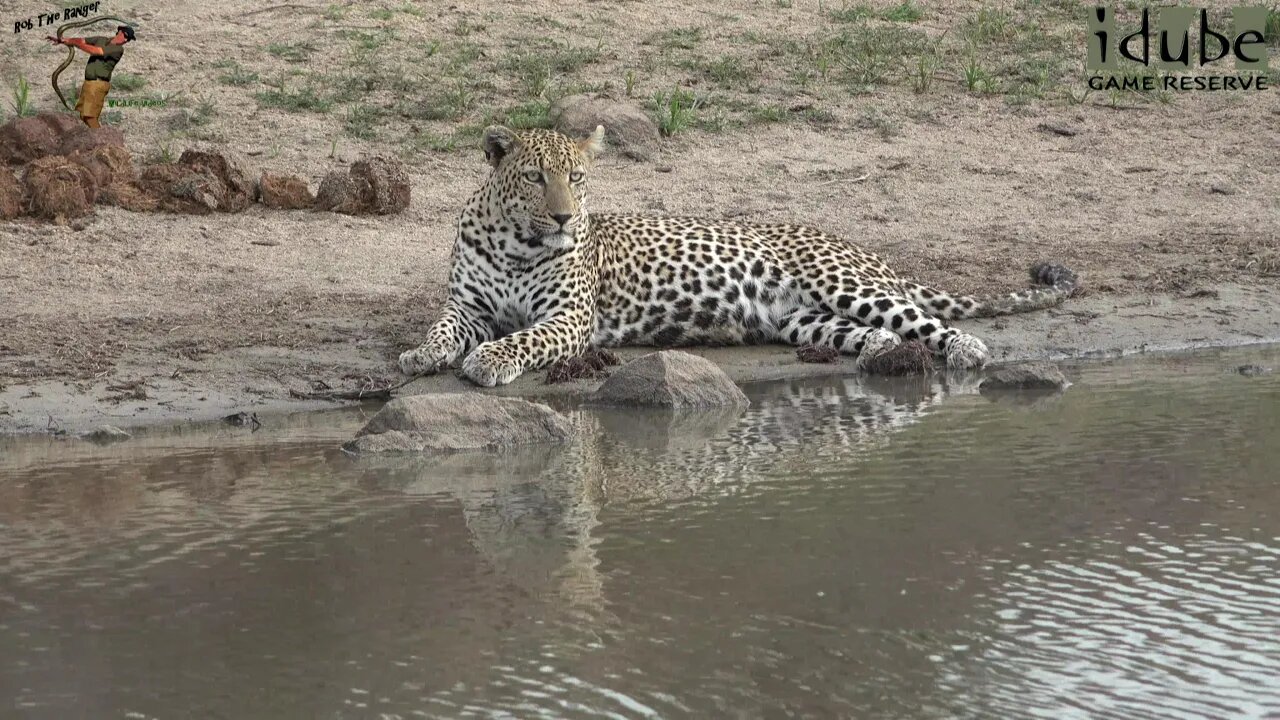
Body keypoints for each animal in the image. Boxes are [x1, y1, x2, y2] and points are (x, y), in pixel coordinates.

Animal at [394, 125, 1075, 384]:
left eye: (578, 178)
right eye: (536, 178)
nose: (564, 217)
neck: (516, 242)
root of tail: (866, 250)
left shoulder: (568, 318)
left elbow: (522, 339)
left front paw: (488, 361)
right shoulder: (468, 306)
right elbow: (444, 328)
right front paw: (420, 354)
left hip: (845, 284)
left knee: (929, 322)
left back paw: (966, 352)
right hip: (803, 318)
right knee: (878, 334)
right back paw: (878, 354)